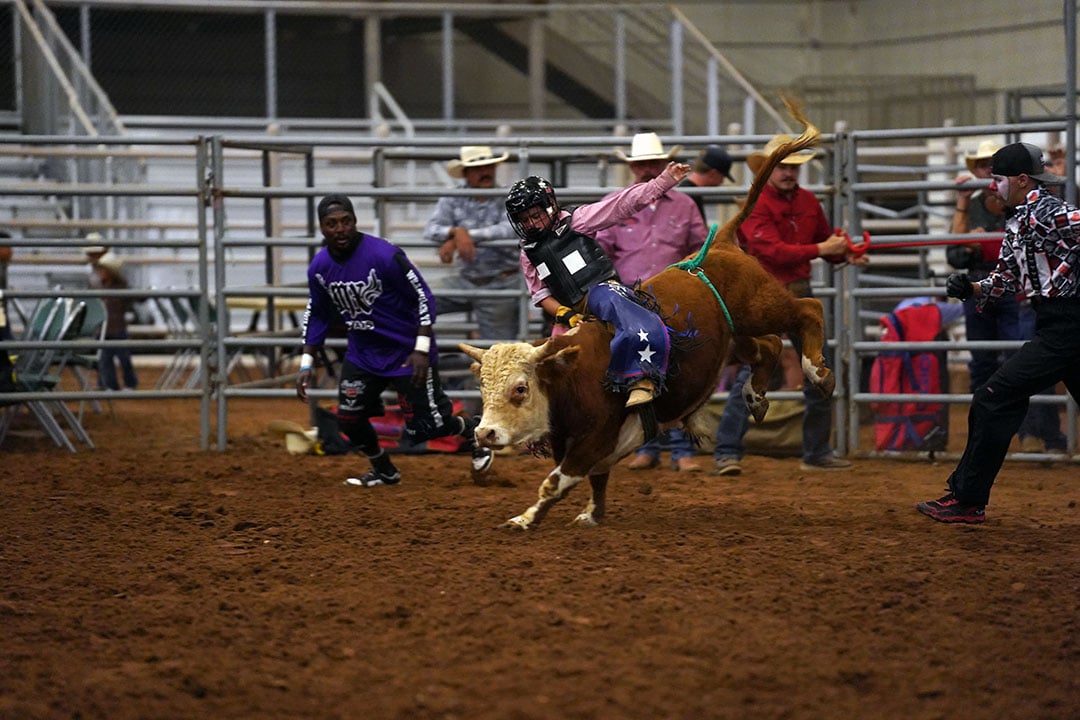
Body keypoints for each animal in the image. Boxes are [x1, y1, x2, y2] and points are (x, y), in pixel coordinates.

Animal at [460, 106, 832, 530]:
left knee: (808, 311)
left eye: (520, 388)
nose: (485, 434)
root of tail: (720, 244)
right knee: (767, 347)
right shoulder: (572, 440)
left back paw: (818, 373)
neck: (573, 375)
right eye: (483, 388)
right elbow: (595, 478)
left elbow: (556, 482)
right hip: (733, 339)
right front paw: (590, 514)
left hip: (760, 304)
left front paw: (524, 519)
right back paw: (755, 398)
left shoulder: (594, 439)